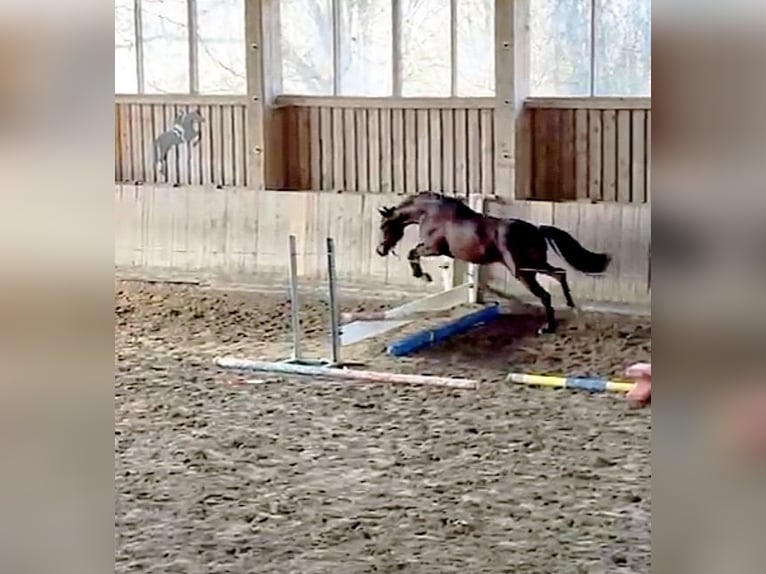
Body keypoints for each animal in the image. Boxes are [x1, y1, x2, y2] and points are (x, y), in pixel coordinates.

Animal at [375, 192, 612, 334]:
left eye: (384, 225)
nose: (380, 250)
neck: (431, 213)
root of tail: (536, 230)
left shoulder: (433, 248)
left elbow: (412, 253)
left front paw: (422, 275)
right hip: (534, 266)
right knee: (560, 273)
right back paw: (571, 308)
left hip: (522, 270)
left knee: (546, 293)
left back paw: (548, 327)